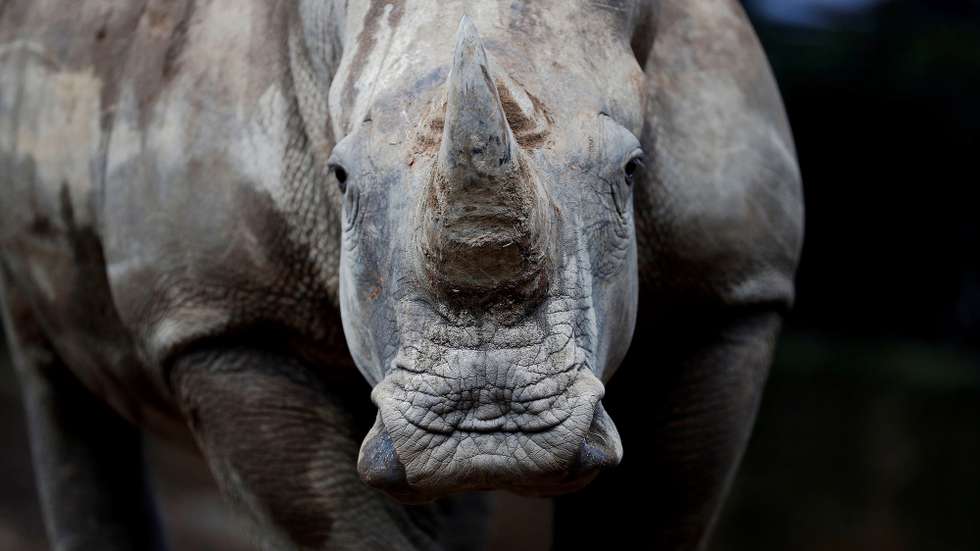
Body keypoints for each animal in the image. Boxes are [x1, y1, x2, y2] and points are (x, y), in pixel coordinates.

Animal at [0, 0, 803, 549]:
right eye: (341, 178)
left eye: (633, 170)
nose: (487, 432)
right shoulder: (226, 320)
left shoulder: (728, 293)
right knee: (51, 372)